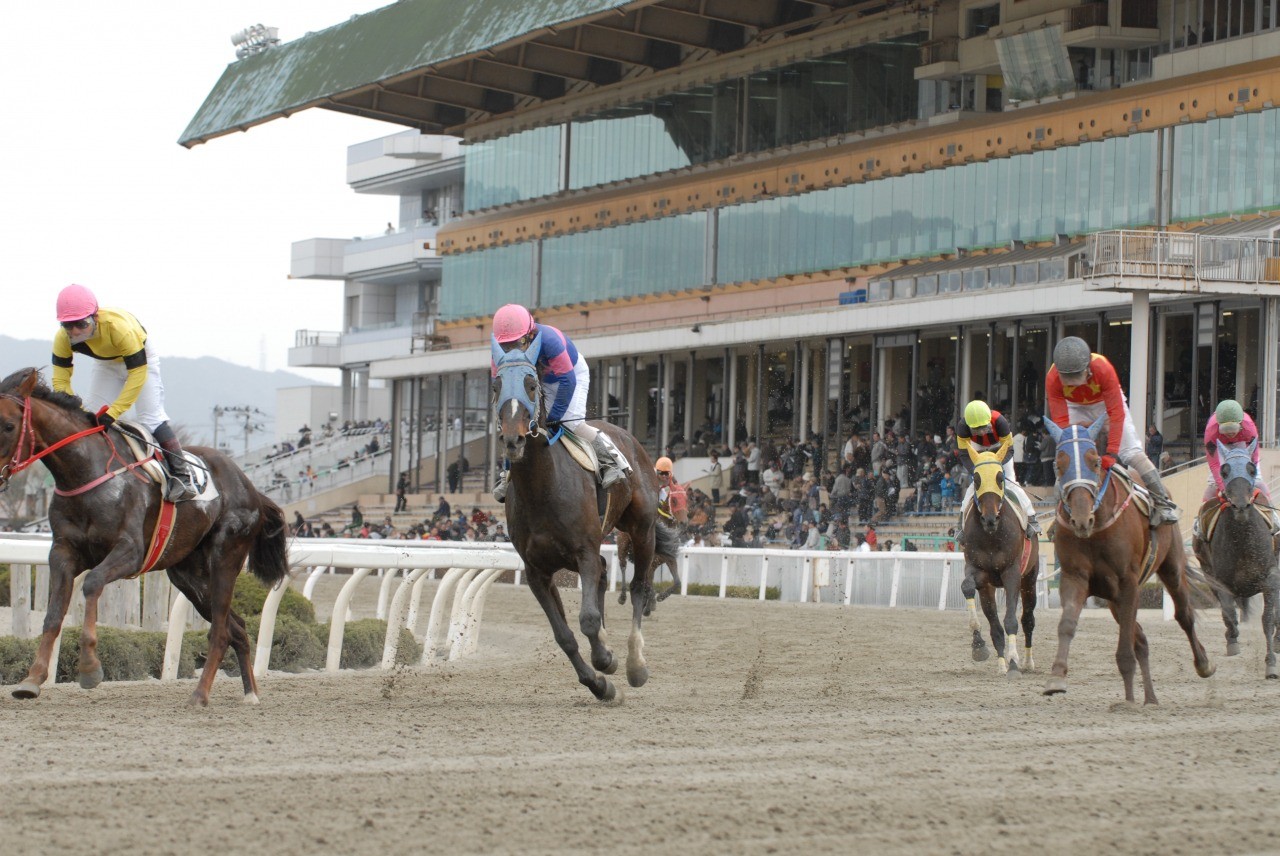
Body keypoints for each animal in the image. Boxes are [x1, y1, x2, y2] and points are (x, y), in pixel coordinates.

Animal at [0, 368, 285, 706]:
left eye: (8, 425)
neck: (85, 473)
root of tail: (251, 487)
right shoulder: (62, 553)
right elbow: (53, 614)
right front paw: (32, 679)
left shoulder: (130, 552)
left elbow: (93, 583)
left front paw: (90, 668)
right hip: (188, 575)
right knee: (236, 628)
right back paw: (250, 693)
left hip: (225, 558)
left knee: (220, 631)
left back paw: (199, 695)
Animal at [488, 348, 680, 701]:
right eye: (496, 386)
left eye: (531, 385)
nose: (513, 440)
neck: (542, 488)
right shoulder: (537, 570)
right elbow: (563, 634)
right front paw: (599, 685)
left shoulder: (584, 551)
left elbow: (588, 619)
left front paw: (607, 660)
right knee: (606, 573)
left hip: (642, 530)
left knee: (639, 587)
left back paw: (635, 663)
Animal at [962, 447, 1039, 675]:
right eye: (976, 479)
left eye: (999, 478)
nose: (990, 519)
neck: (991, 536)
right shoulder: (980, 573)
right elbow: (967, 587)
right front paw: (979, 645)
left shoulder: (1011, 572)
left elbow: (1012, 621)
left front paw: (1014, 662)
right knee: (995, 625)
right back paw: (1001, 664)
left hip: (1030, 579)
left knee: (1028, 619)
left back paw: (1027, 662)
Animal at [1039, 417, 1208, 706]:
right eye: (1058, 465)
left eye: (1095, 461)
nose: (1081, 520)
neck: (1096, 529)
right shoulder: (1075, 576)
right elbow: (1067, 624)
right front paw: (1056, 678)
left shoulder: (1127, 581)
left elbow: (1125, 645)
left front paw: (1128, 700)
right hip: (1113, 599)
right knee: (1140, 639)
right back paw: (1147, 698)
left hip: (1170, 568)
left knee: (1183, 614)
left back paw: (1203, 663)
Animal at [1187, 440, 1280, 675]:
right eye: (1224, 471)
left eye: (1252, 469)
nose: (1240, 505)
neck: (1243, 542)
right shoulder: (1219, 581)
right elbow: (1229, 612)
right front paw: (1232, 641)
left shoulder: (1270, 578)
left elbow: (1267, 619)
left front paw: (1271, 663)